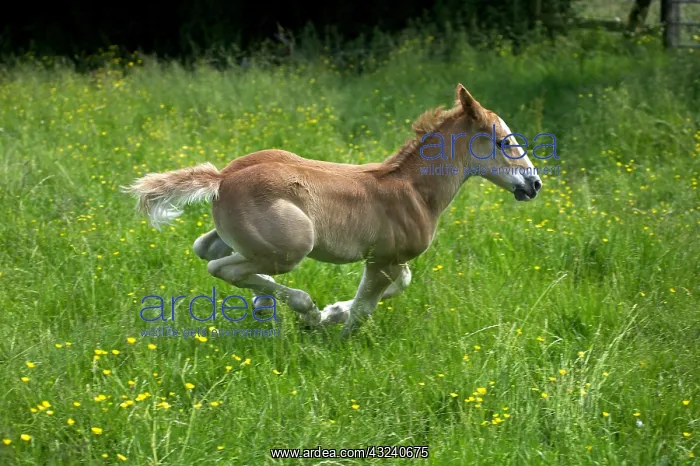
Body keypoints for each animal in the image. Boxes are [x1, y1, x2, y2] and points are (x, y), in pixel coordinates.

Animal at [122, 84, 542, 337]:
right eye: (504, 141)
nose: (534, 184)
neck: (413, 191)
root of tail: (222, 177)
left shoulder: (388, 260)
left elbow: (400, 284)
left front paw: (334, 311)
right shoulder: (384, 260)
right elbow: (366, 308)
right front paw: (332, 325)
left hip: (245, 239)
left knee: (206, 249)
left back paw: (266, 305)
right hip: (293, 246)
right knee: (221, 267)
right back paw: (300, 308)